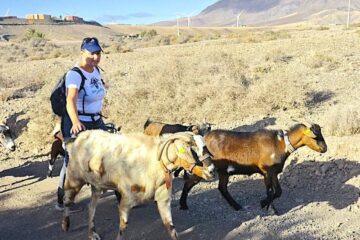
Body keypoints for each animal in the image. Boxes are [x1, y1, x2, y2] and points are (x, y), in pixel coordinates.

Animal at [61, 130, 214, 239]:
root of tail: (76, 140)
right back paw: (65, 225)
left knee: (91, 207)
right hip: (74, 179)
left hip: (97, 186)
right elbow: (123, 227)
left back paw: (92, 234)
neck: (151, 161)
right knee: (67, 200)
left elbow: (171, 228)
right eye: (191, 149)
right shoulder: (126, 199)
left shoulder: (163, 198)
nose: (212, 170)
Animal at [179, 123, 328, 213]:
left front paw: (269, 207)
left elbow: (278, 192)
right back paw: (183, 205)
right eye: (315, 137)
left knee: (222, 188)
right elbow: (270, 191)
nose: (324, 149)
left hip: (223, 171)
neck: (280, 144)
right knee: (189, 183)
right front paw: (266, 206)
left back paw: (237, 206)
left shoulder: (274, 172)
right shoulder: (267, 171)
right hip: (205, 168)